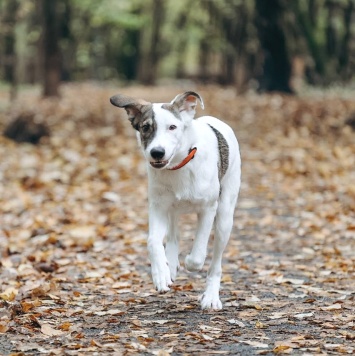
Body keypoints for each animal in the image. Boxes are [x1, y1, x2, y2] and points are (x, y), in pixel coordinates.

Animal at [110, 91, 241, 308]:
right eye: (146, 127)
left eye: (172, 127)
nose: (157, 152)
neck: (179, 165)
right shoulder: (158, 205)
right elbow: (153, 241)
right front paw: (160, 273)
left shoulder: (208, 208)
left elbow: (198, 255)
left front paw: (190, 262)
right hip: (171, 207)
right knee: (173, 234)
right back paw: (170, 264)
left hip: (225, 215)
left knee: (216, 262)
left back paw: (211, 297)